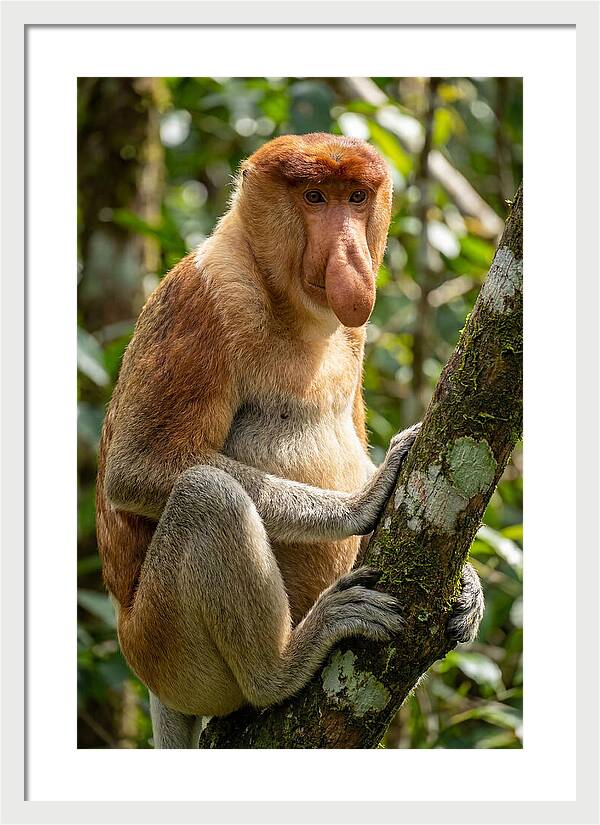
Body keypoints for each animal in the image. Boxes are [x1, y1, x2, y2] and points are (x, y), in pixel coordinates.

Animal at [96, 133, 484, 749]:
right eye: (315, 197)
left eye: (355, 197)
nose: (350, 257)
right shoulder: (204, 299)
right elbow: (138, 467)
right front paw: (363, 502)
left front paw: (468, 585)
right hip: (163, 649)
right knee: (208, 496)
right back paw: (283, 665)